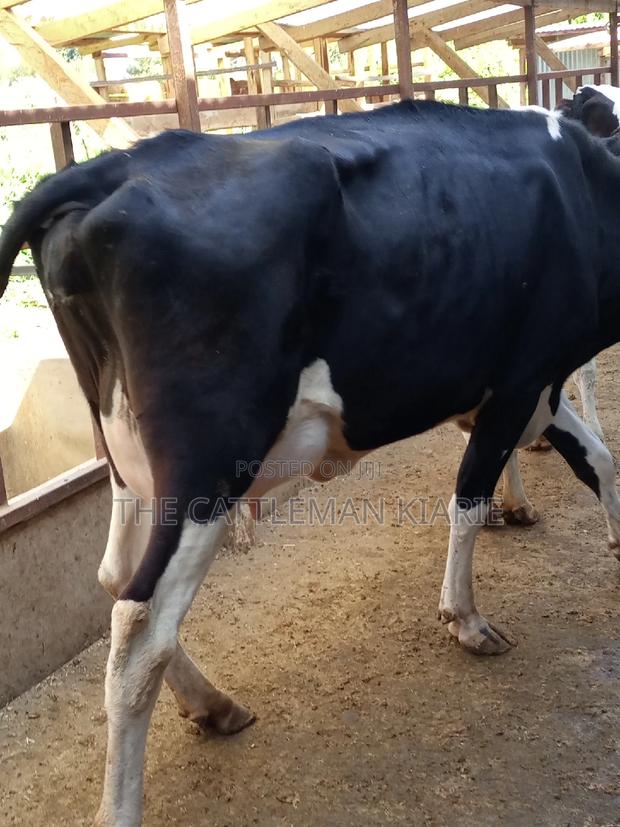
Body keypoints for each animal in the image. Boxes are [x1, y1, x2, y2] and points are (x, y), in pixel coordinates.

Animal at [1, 100, 620, 826]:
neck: (584, 192)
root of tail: (107, 168)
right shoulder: (521, 379)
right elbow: (468, 501)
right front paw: (465, 619)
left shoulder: (533, 388)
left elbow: (599, 459)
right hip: (208, 466)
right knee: (139, 630)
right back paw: (127, 797)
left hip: (128, 461)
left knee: (115, 577)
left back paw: (212, 703)